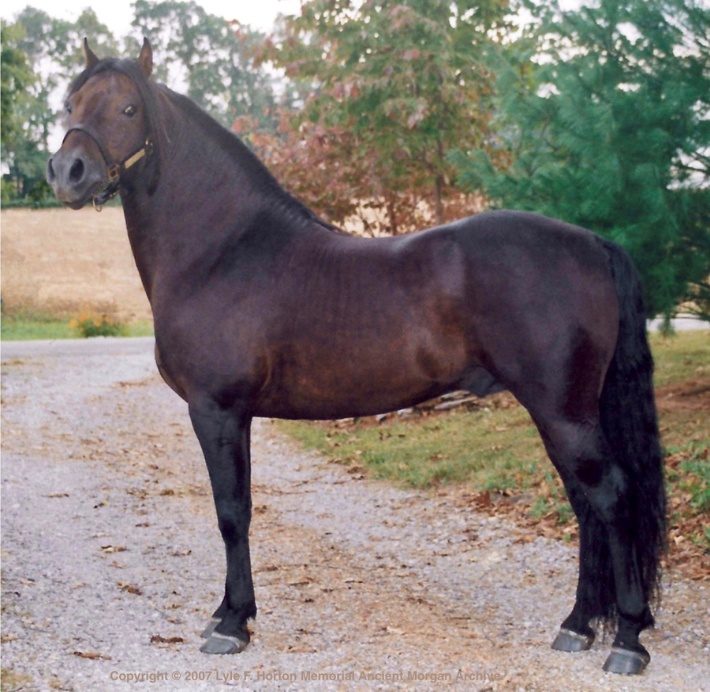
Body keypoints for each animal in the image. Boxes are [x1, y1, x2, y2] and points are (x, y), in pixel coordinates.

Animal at [47, 39, 666, 675]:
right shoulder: (233, 414)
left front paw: (231, 622)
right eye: (71, 103)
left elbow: (231, 513)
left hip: (563, 411)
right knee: (586, 505)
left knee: (610, 498)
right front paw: (230, 615)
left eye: (128, 109)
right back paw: (577, 625)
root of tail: (592, 244)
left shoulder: (217, 410)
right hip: (563, 413)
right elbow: (237, 509)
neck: (222, 252)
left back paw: (627, 639)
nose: (68, 172)